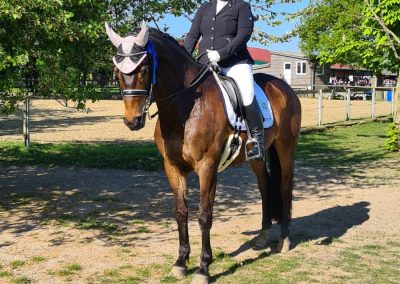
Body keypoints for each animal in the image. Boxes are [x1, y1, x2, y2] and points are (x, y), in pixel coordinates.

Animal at [106, 22, 300, 284]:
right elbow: (181, 212)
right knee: (265, 186)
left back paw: (284, 240)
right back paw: (263, 236)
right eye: (117, 71)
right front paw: (180, 263)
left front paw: (203, 268)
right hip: (257, 158)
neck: (184, 107)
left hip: (286, 148)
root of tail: (284, 87)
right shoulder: (173, 167)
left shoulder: (207, 167)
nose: (132, 121)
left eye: (145, 69)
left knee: (284, 187)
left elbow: (204, 215)